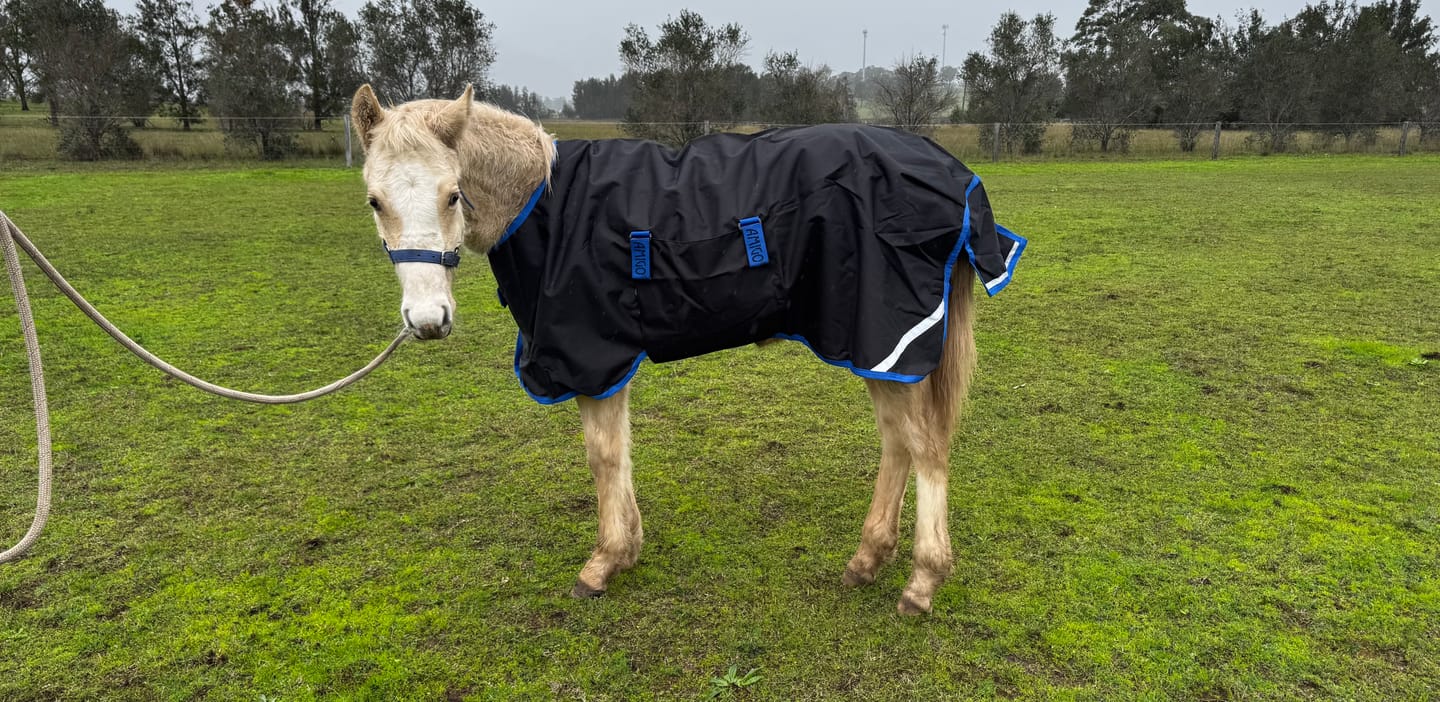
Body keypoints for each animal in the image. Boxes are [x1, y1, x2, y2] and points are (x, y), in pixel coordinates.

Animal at [349, 84, 1025, 614]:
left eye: (452, 195)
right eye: (374, 201)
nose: (427, 320)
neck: (545, 204)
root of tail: (953, 174)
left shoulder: (591, 357)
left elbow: (602, 455)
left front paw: (602, 562)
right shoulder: (607, 363)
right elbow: (619, 452)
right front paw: (627, 549)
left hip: (886, 343)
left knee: (927, 449)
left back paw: (921, 582)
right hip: (874, 353)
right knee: (897, 444)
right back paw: (867, 560)